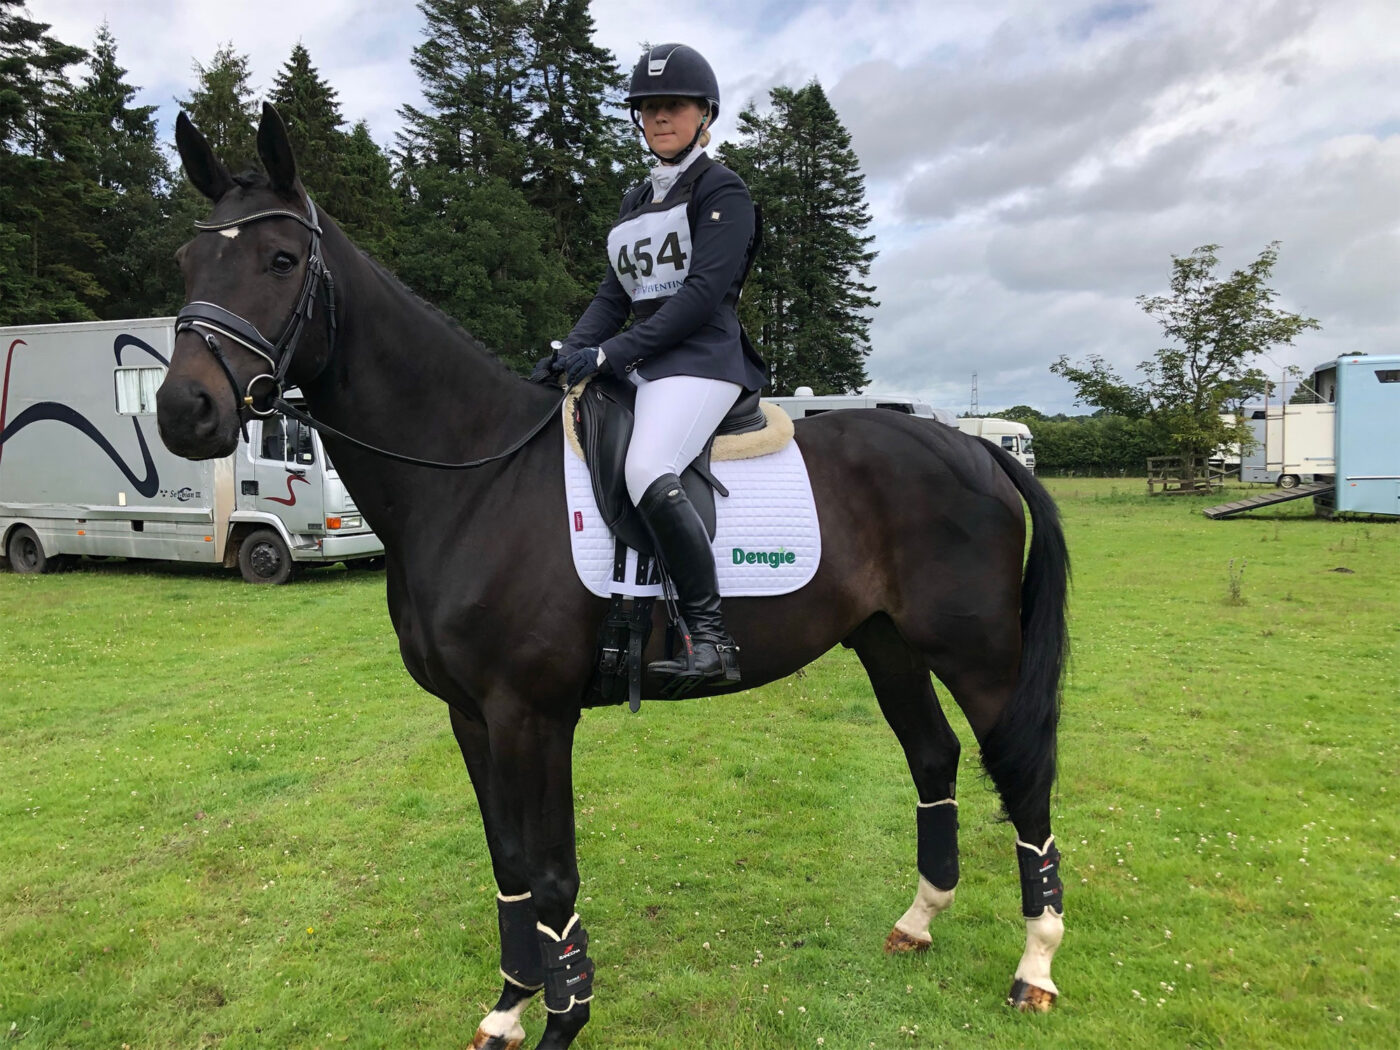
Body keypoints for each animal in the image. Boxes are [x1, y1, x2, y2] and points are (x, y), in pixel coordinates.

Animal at [156, 109, 1069, 1050]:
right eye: (187, 263)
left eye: (280, 260)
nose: (185, 411)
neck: (474, 476)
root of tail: (977, 449)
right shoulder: (470, 716)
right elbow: (511, 864)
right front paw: (511, 1006)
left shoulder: (532, 716)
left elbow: (554, 873)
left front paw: (561, 1022)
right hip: (886, 643)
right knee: (934, 756)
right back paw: (919, 922)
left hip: (977, 654)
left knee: (1024, 773)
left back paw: (1035, 966)